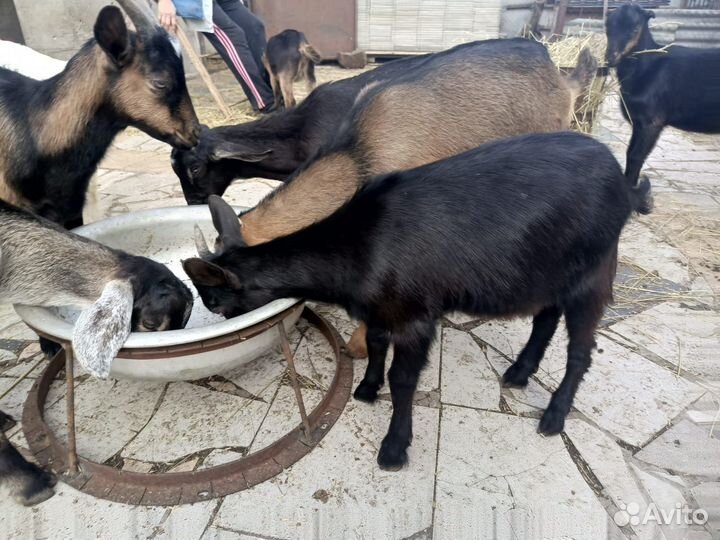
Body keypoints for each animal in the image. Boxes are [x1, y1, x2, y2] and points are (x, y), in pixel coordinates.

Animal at [184, 132, 652, 470]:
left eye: (217, 303)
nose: (216, 320)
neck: (357, 249)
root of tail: (621, 180)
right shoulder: (377, 309)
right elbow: (375, 344)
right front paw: (366, 389)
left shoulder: (415, 317)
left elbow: (404, 379)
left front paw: (394, 448)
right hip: (548, 270)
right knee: (546, 316)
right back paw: (520, 372)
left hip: (595, 270)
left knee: (581, 349)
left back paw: (553, 417)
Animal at [605, 4, 720, 184]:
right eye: (607, 28)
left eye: (635, 29)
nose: (610, 58)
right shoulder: (638, 121)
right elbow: (629, 152)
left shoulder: (652, 122)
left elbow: (636, 156)